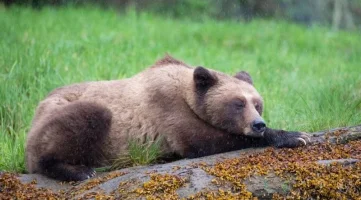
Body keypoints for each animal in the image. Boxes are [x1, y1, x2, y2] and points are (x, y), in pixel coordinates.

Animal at [25, 54, 308, 181]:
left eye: (257, 104)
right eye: (238, 103)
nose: (258, 124)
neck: (187, 93)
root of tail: (37, 109)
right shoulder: (168, 110)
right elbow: (202, 141)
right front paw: (294, 136)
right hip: (68, 114)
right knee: (87, 118)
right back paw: (80, 170)